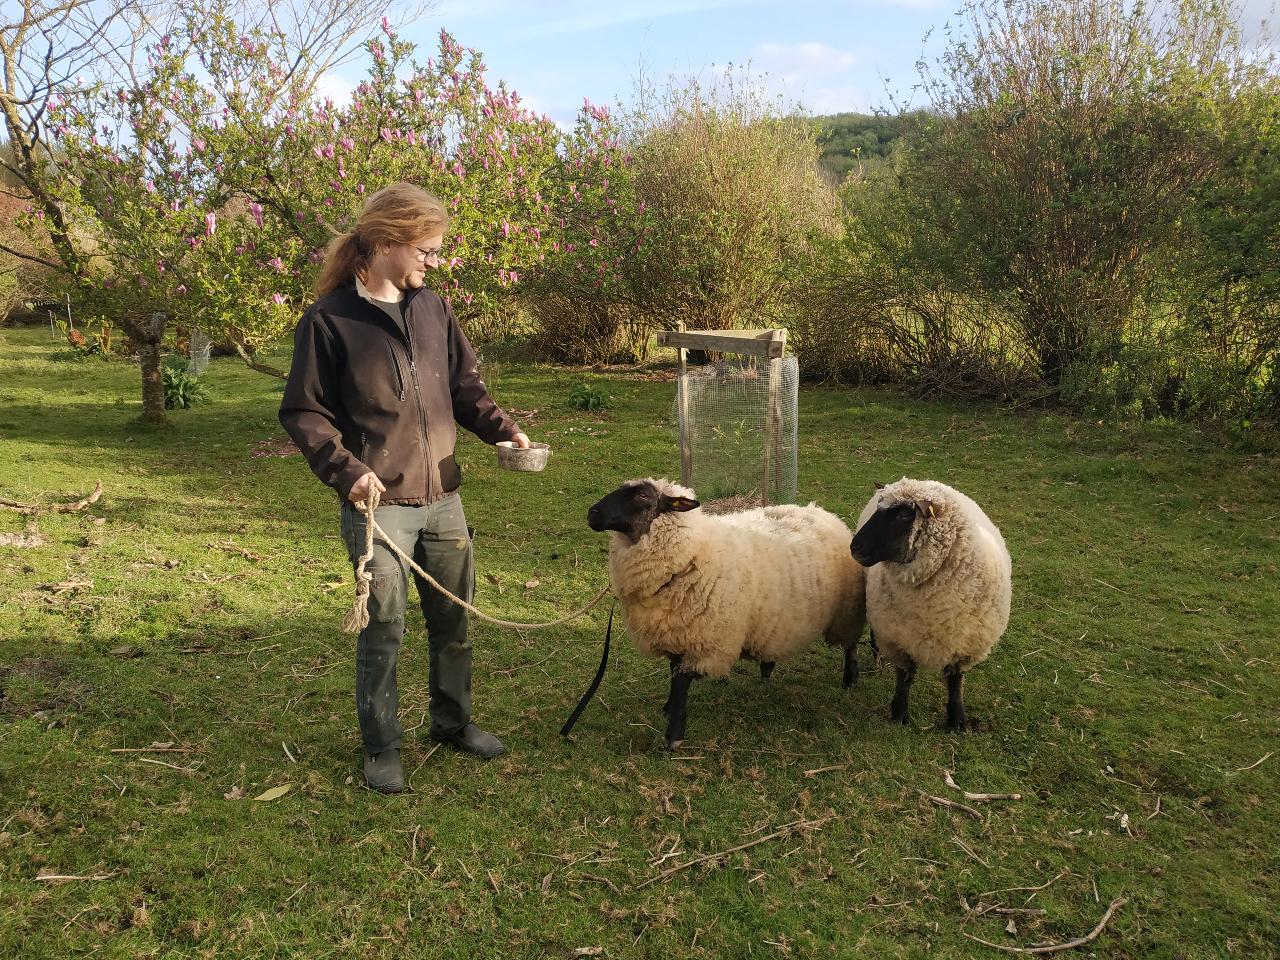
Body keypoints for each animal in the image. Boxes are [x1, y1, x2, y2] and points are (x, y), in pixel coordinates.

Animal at [586, 481, 865, 752]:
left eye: (642, 496)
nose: (592, 513)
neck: (690, 556)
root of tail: (821, 512)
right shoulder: (677, 632)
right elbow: (673, 672)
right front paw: (668, 709)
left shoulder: (704, 642)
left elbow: (681, 682)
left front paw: (674, 735)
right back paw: (768, 667)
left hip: (847, 612)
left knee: (851, 646)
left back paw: (849, 681)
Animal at [849, 478, 1008, 732]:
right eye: (880, 510)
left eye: (904, 515)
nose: (855, 548)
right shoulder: (898, 639)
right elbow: (904, 678)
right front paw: (900, 714)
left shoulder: (966, 645)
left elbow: (955, 682)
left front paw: (957, 720)